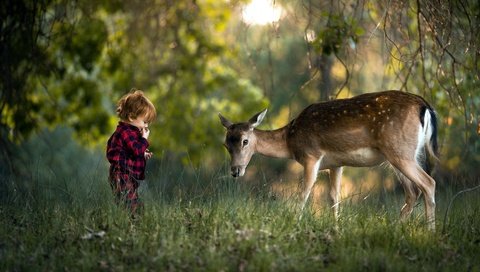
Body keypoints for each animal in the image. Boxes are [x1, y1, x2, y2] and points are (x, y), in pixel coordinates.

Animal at [218, 90, 438, 228]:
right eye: (226, 144)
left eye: (245, 141)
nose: (235, 171)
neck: (290, 140)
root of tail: (425, 106)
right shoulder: (336, 164)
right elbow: (334, 197)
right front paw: (336, 228)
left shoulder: (311, 155)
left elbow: (304, 192)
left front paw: (294, 223)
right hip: (401, 155)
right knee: (413, 191)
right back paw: (395, 229)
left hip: (400, 151)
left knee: (428, 183)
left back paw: (430, 233)